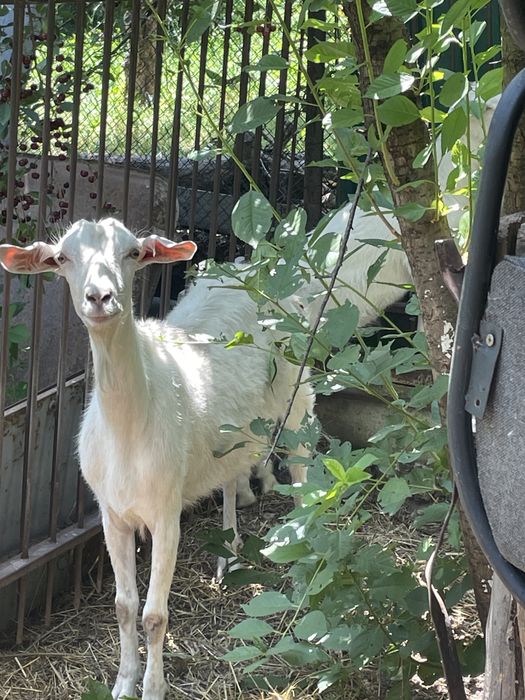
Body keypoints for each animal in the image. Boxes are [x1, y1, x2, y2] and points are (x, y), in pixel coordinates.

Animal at [0, 218, 314, 700]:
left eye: (132, 253)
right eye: (62, 258)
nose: (99, 297)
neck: (130, 429)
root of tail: (256, 268)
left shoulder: (166, 513)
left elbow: (153, 615)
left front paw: (152, 687)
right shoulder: (111, 513)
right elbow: (124, 606)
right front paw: (123, 682)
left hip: (297, 392)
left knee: (301, 465)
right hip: (227, 431)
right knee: (230, 473)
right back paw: (229, 554)